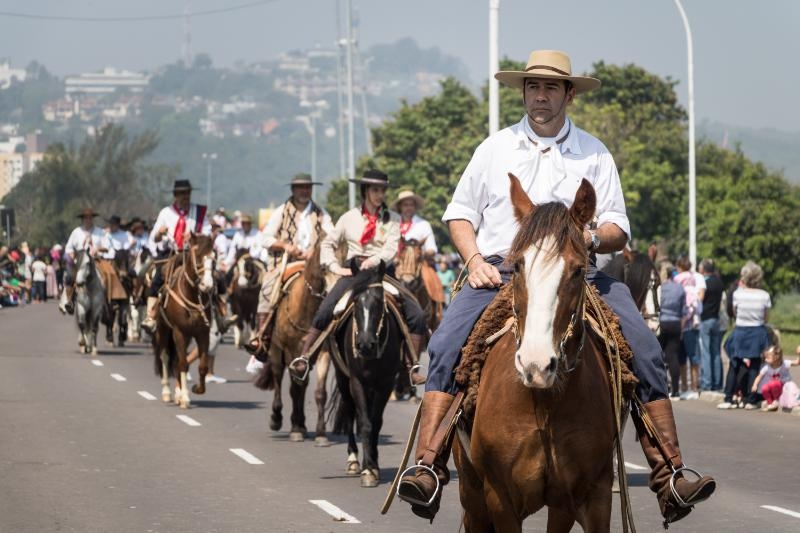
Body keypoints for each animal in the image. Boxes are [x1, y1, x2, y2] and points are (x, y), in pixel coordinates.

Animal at [152, 234, 216, 408]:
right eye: (198, 257)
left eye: (214, 258)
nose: (208, 285)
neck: (192, 295)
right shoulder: (179, 332)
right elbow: (183, 364)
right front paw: (186, 397)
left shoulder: (203, 333)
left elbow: (202, 366)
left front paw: (196, 389)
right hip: (163, 331)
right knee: (165, 356)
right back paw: (167, 392)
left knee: (176, 360)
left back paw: (177, 394)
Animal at [255, 241, 332, 444]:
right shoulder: (290, 351)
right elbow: (293, 388)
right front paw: (294, 428)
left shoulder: (322, 353)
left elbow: (320, 392)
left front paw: (321, 433)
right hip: (275, 351)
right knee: (279, 379)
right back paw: (278, 419)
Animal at [332, 260, 404, 488]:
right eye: (355, 301)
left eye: (379, 301)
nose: (365, 345)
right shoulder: (357, 381)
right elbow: (364, 423)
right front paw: (367, 470)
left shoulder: (385, 383)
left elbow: (376, 423)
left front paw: (373, 465)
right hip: (343, 379)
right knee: (349, 412)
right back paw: (354, 460)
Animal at [454, 178, 620, 532]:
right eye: (517, 266)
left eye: (578, 270)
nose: (536, 365)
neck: (543, 402)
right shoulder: (499, 497)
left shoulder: (581, 497)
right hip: (471, 492)